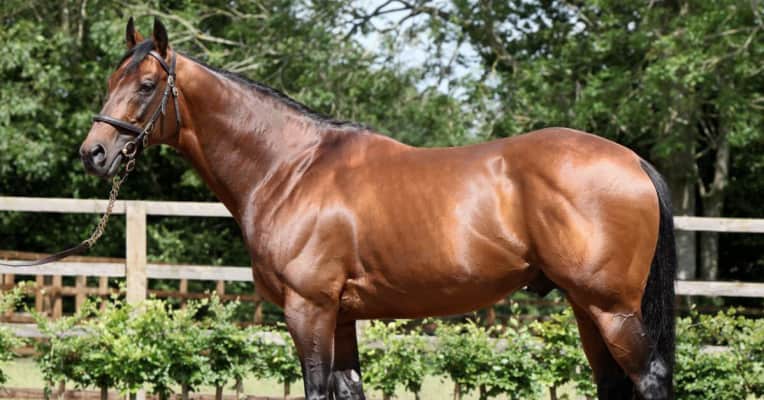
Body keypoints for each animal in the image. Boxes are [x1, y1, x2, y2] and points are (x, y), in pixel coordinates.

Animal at [79, 18, 676, 400]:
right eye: (110, 81)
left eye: (147, 84)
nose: (94, 153)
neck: (291, 167)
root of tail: (632, 161)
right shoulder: (341, 317)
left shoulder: (309, 310)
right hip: (585, 307)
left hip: (611, 309)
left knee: (648, 379)